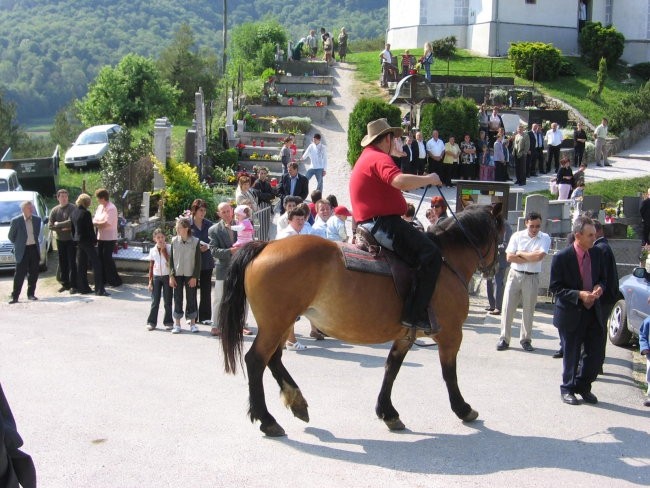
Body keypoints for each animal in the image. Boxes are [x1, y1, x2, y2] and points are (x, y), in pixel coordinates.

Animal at [220, 204, 504, 436]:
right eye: (500, 233)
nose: (493, 269)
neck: (445, 262)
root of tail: (265, 245)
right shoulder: (451, 334)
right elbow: (449, 373)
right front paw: (462, 408)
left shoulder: (405, 335)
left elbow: (391, 369)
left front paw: (388, 412)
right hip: (276, 324)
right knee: (256, 360)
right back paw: (267, 419)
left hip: (281, 323)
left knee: (274, 359)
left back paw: (296, 402)